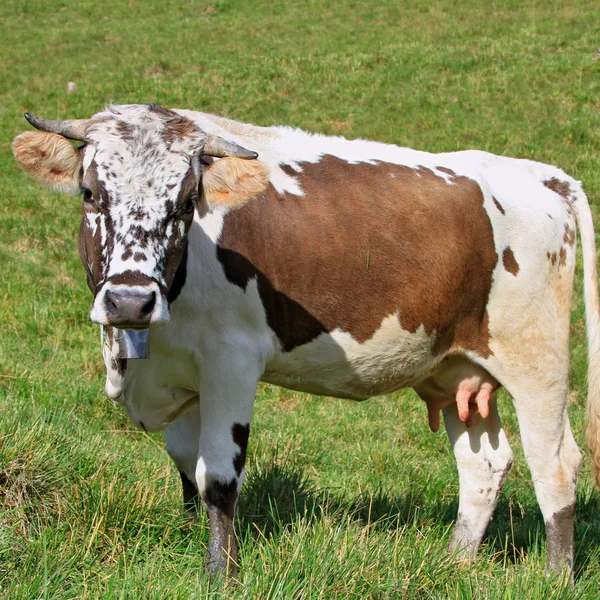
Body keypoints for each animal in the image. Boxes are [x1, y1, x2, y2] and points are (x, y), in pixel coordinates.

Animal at [10, 102, 600, 576]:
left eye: (185, 201)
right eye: (90, 192)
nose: (131, 301)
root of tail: (540, 173)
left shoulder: (231, 360)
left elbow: (217, 474)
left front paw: (220, 576)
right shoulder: (181, 376)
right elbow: (184, 466)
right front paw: (190, 546)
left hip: (537, 360)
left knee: (554, 465)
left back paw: (555, 577)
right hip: (456, 367)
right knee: (484, 464)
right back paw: (454, 563)